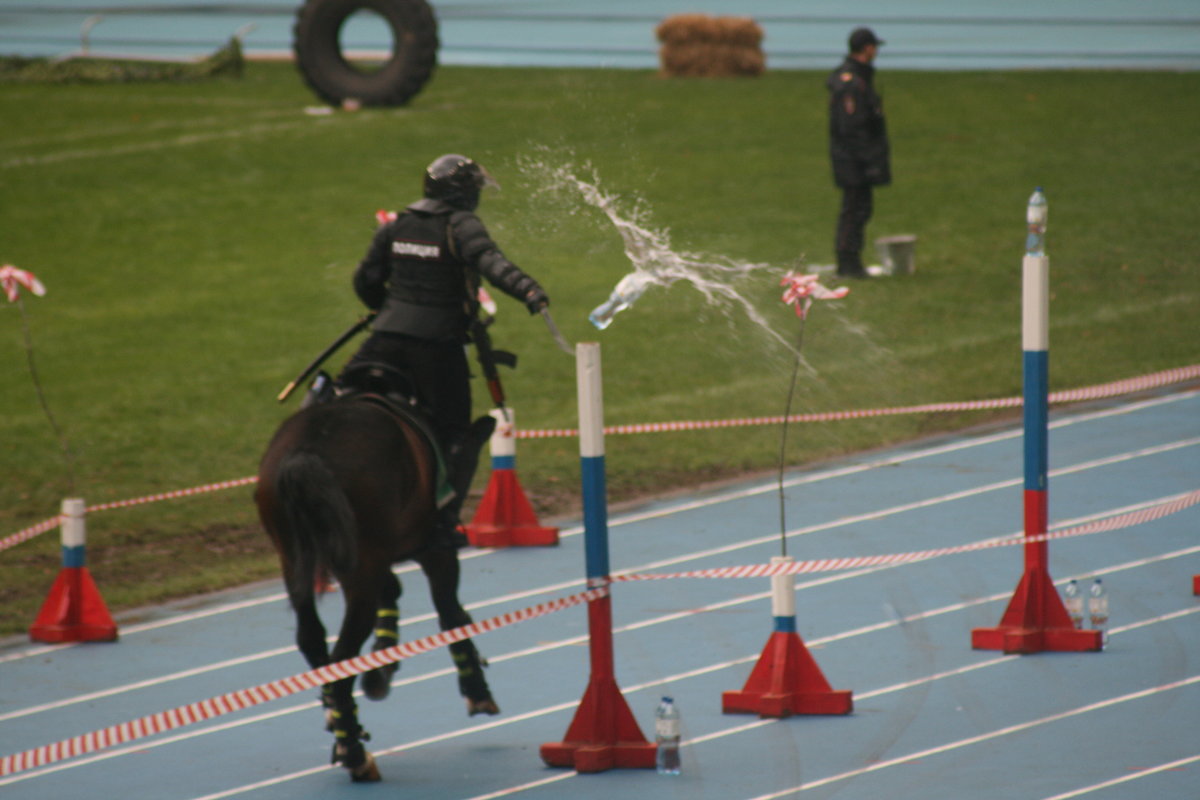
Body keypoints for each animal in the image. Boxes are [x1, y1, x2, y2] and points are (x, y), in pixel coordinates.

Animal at [253, 398, 496, 786]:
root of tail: (307, 453)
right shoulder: (434, 551)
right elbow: (450, 613)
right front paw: (476, 690)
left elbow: (394, 594)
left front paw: (380, 666)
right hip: (362, 566)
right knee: (341, 658)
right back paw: (354, 753)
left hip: (295, 561)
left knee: (311, 640)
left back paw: (342, 726)